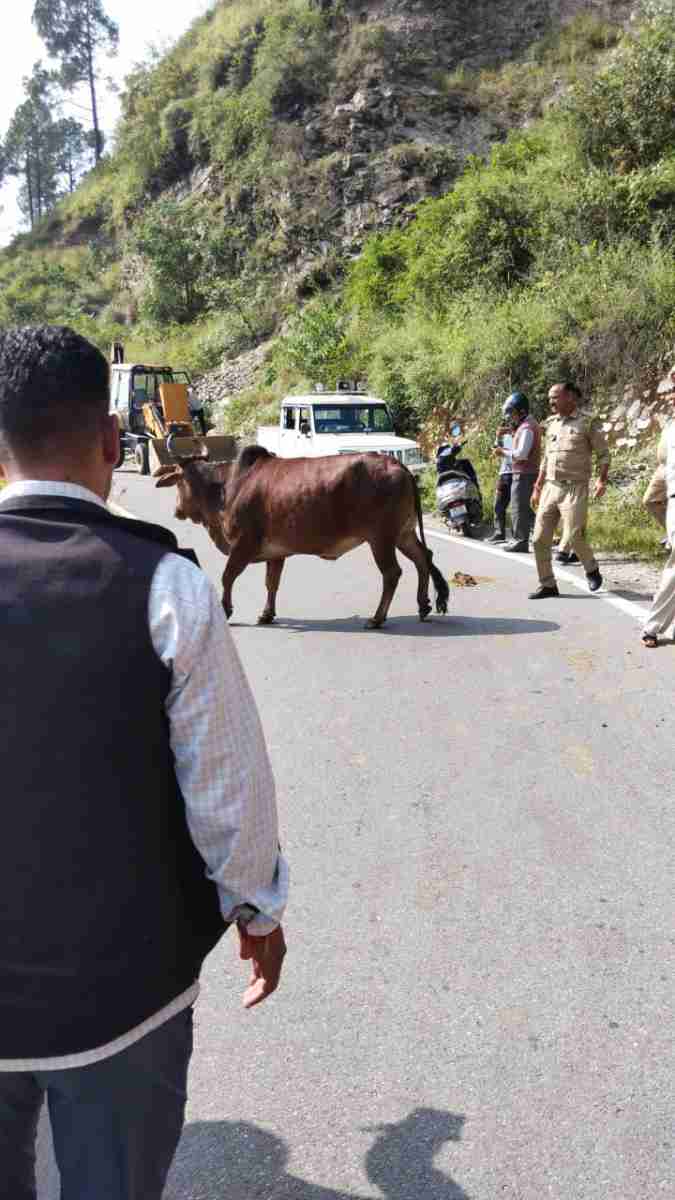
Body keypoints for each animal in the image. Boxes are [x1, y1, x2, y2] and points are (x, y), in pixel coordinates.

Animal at [152, 444, 446, 628]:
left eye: (179, 481)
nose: (177, 510)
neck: (226, 489)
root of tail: (398, 464)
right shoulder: (276, 553)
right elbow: (271, 583)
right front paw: (267, 614)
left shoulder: (243, 545)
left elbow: (227, 577)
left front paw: (227, 609)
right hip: (403, 533)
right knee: (423, 558)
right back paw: (423, 605)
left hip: (380, 538)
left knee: (392, 573)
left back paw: (376, 619)